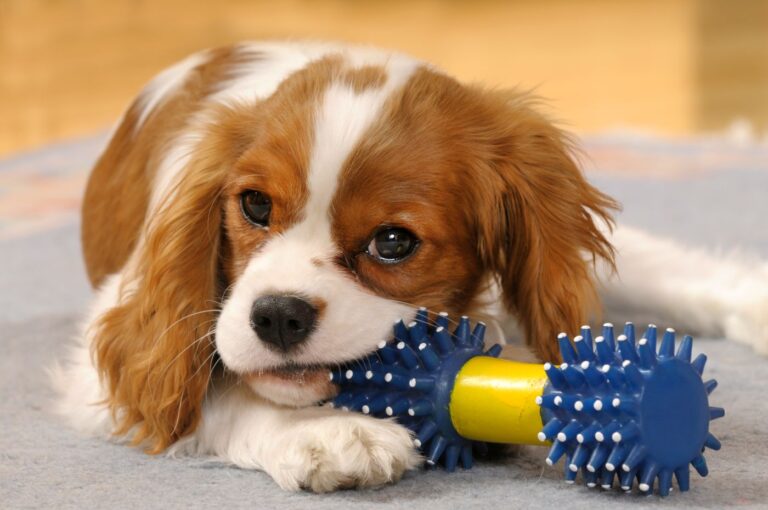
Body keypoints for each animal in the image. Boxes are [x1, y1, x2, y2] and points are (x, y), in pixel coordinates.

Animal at [54, 41, 768, 492]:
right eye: (254, 205)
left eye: (392, 242)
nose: (278, 315)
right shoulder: (113, 346)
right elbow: (205, 386)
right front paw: (323, 432)